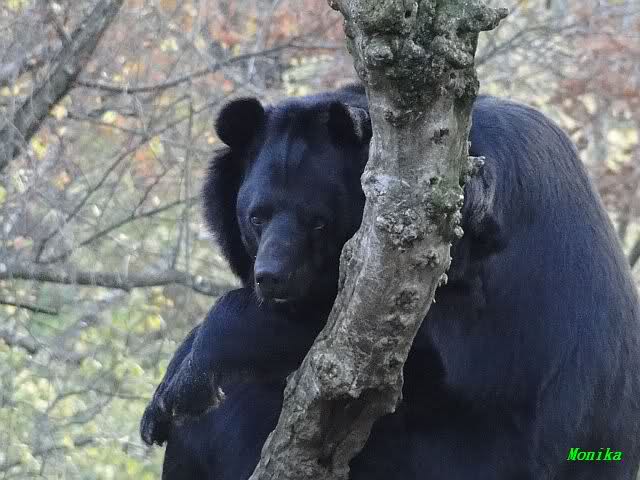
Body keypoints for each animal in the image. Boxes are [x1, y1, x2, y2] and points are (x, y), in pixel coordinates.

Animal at [141, 84, 640, 480]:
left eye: (319, 222)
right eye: (256, 217)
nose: (271, 278)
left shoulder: (455, 234)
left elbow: (395, 351)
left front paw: (185, 384)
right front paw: (158, 404)